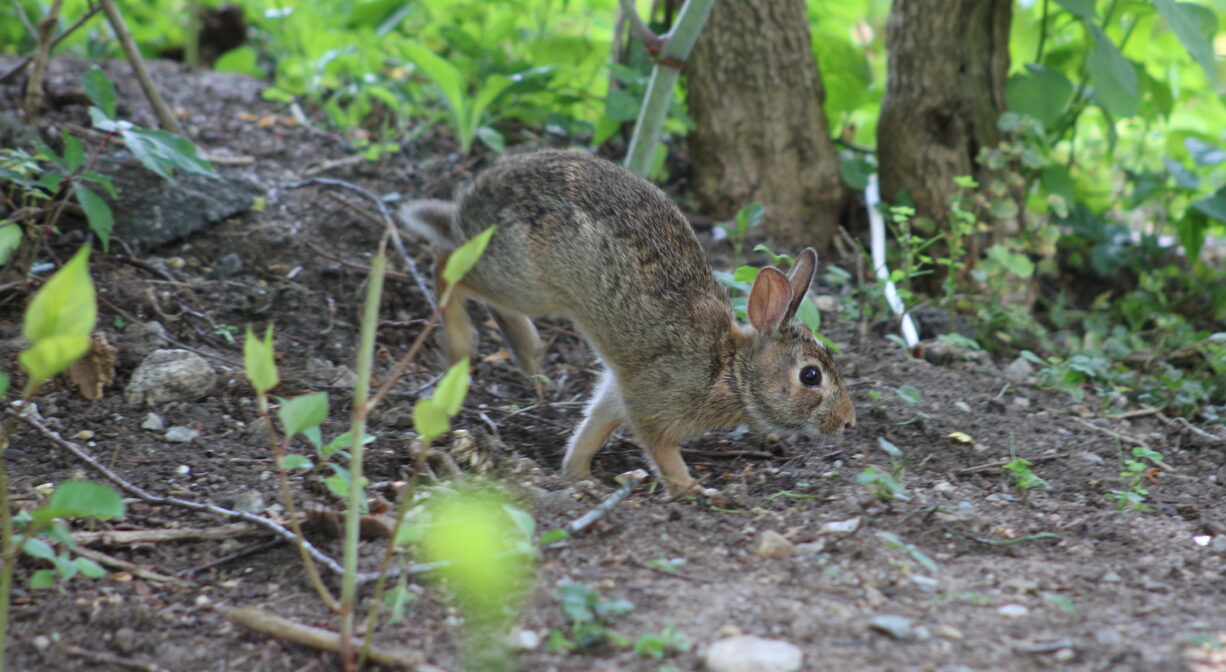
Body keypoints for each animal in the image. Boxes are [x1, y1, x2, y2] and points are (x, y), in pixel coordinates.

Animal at [400, 150, 855, 496]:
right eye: (810, 376)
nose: (849, 422)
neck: (729, 369)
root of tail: (474, 202)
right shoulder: (652, 403)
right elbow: (661, 449)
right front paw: (692, 489)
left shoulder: (619, 391)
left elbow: (593, 428)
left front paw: (577, 476)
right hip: (526, 282)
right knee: (447, 262)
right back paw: (464, 343)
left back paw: (526, 351)